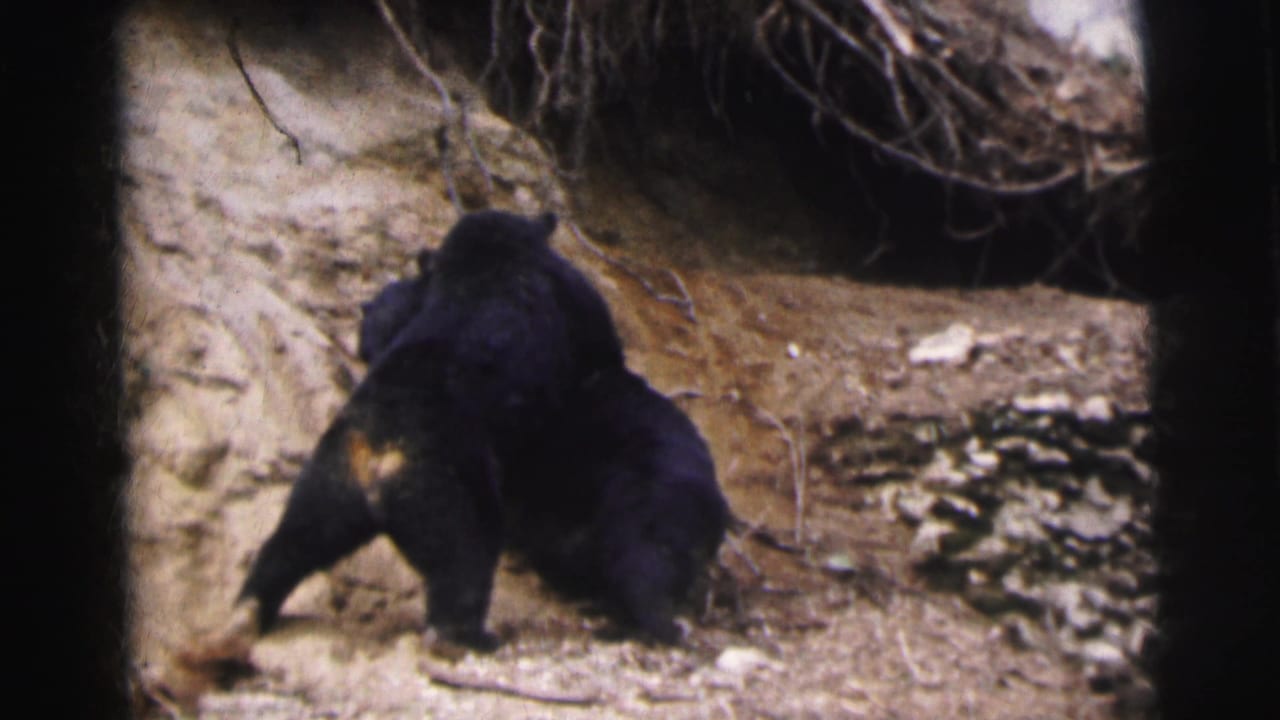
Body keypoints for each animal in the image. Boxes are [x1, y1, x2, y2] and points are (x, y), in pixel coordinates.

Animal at [238, 211, 627, 650]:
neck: (485, 261)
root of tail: (379, 460)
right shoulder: (565, 294)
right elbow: (597, 339)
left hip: (329, 479)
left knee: (294, 542)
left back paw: (251, 609)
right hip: (446, 481)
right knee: (466, 551)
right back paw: (470, 634)